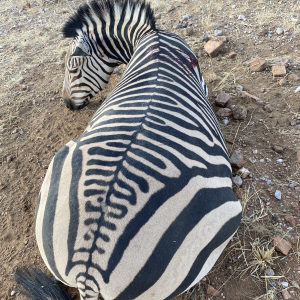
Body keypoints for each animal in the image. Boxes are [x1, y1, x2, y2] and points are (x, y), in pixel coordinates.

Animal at [15, 0, 243, 300]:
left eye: (72, 70)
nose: (67, 104)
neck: (151, 37)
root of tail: (89, 268)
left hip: (59, 165)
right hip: (225, 214)